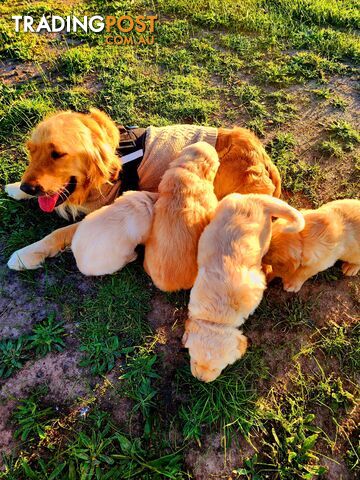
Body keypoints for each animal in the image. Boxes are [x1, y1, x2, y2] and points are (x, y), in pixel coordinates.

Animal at [6, 108, 282, 270]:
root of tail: (264, 158)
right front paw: (15, 188)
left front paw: (24, 255)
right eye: (31, 151)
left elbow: (58, 233)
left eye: (58, 154)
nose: (28, 185)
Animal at [183, 192, 304, 382]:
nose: (201, 380)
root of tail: (256, 199)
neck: (218, 317)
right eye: (194, 361)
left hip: (265, 234)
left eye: (217, 368)